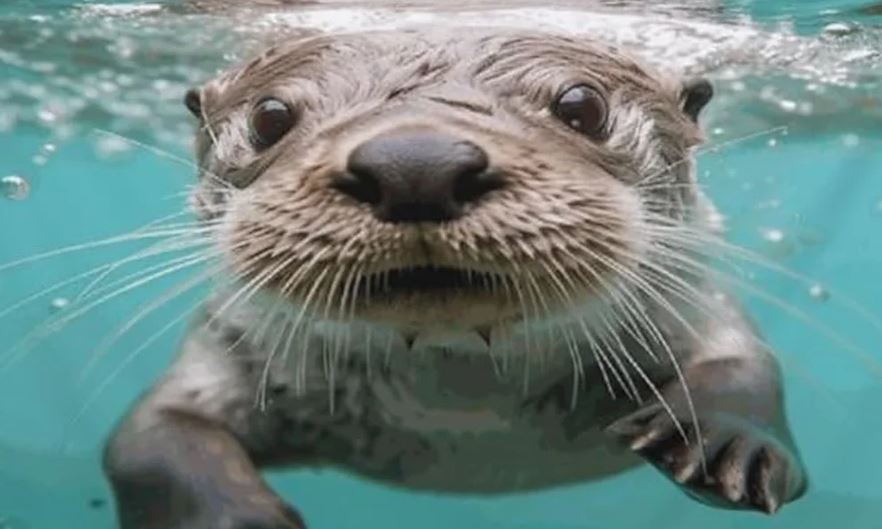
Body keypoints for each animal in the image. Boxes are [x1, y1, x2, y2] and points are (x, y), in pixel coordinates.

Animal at [102, 28, 807, 529]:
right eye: (271, 117)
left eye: (582, 105)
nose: (416, 162)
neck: (461, 413)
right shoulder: (233, 342)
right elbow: (144, 441)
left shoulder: (686, 304)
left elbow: (747, 360)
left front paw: (727, 439)